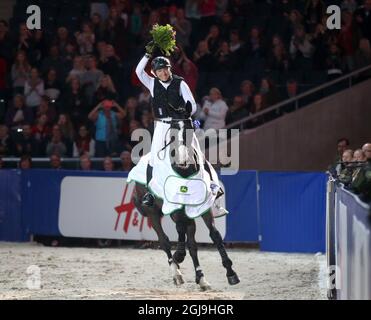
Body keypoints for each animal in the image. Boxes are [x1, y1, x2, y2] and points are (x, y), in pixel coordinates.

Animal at [132, 120, 240, 290]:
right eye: (172, 136)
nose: (182, 160)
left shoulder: (203, 209)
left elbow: (214, 235)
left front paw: (230, 272)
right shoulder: (176, 210)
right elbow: (179, 233)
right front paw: (179, 255)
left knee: (192, 244)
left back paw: (201, 278)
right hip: (152, 213)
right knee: (164, 240)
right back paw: (176, 272)